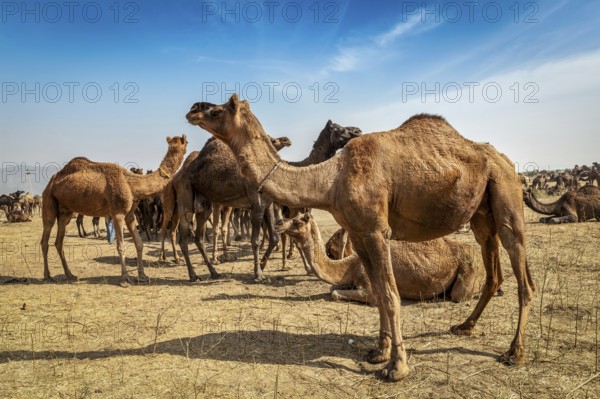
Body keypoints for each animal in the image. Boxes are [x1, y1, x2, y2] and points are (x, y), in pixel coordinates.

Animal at [41, 136, 188, 286]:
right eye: (185, 143)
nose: (182, 149)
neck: (131, 184)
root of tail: (52, 181)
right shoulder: (118, 214)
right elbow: (120, 246)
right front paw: (125, 278)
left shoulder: (130, 215)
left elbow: (139, 244)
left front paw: (142, 275)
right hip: (48, 200)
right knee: (45, 237)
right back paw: (47, 275)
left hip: (65, 212)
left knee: (59, 242)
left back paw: (70, 274)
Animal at [276, 214, 482, 304]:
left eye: (297, 221)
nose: (278, 223)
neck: (351, 264)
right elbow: (332, 288)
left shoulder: (370, 289)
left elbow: (335, 293)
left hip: (468, 270)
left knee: (459, 295)